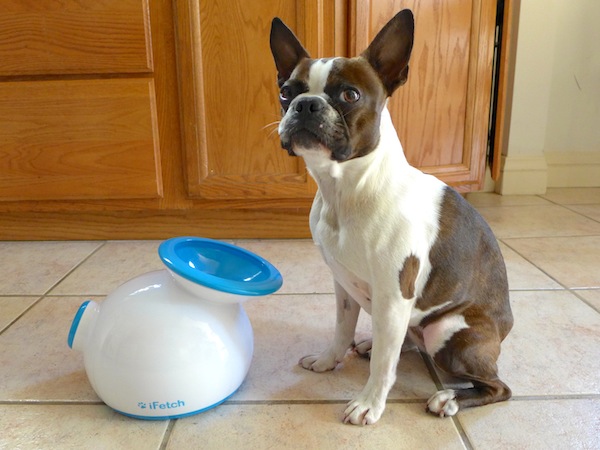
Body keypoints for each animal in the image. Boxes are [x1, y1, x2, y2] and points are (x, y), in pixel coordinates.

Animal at [270, 10, 512, 426]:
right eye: (286, 91)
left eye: (349, 95)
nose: (306, 104)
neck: (345, 190)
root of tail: (506, 329)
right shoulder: (343, 286)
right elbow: (342, 329)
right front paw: (329, 360)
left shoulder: (394, 294)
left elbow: (384, 364)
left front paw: (369, 403)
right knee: (404, 341)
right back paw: (372, 343)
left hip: (446, 329)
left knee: (497, 386)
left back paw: (449, 398)